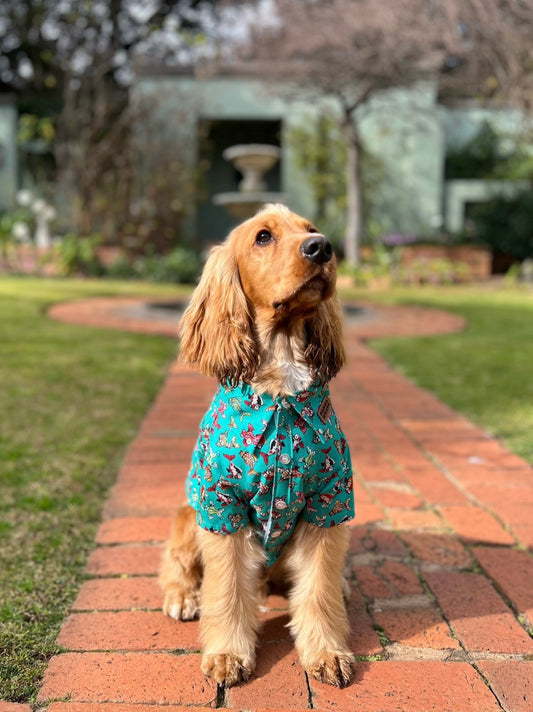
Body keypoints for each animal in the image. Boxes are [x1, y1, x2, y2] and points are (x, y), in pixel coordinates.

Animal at [160, 203, 356, 688]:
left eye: (310, 229)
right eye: (263, 237)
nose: (322, 247)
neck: (281, 389)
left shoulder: (328, 504)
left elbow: (319, 589)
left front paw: (327, 652)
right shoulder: (222, 506)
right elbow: (227, 589)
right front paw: (228, 654)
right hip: (189, 513)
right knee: (176, 561)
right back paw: (182, 597)